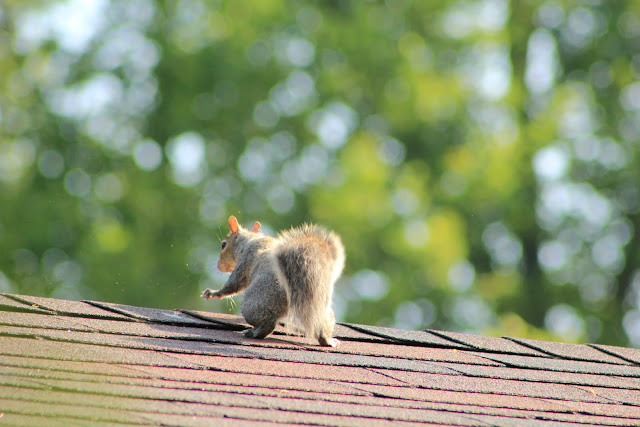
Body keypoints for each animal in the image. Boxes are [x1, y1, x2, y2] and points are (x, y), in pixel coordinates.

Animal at [201, 215, 345, 347]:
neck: (251, 239)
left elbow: (234, 284)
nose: (219, 266)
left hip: (256, 302)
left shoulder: (245, 260)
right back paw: (328, 341)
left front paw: (214, 292)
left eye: (223, 244)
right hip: (323, 312)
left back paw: (254, 333)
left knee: (268, 323)